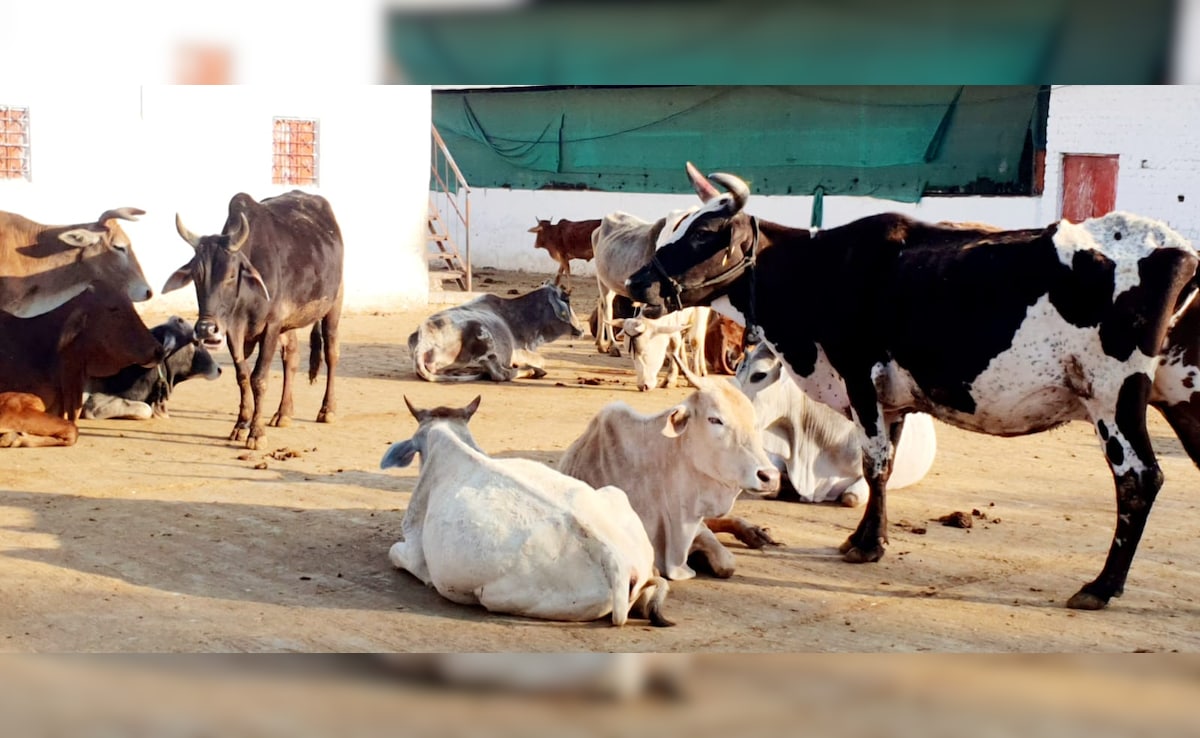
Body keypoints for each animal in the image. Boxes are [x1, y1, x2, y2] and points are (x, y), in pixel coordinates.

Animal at [163, 191, 344, 450]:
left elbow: (259, 378)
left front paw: (256, 433)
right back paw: (283, 413)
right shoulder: (234, 331)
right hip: (288, 324)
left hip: (334, 304)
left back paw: (327, 410)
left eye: (231, 275)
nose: (206, 328)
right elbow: (243, 376)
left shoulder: (271, 326)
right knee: (292, 357)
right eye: (197, 275)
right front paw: (240, 426)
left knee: (331, 353)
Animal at [408, 283, 584, 382]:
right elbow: (541, 360)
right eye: (567, 299)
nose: (582, 329)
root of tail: (425, 338)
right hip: (484, 336)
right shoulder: (518, 352)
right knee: (501, 374)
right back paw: (531, 371)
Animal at [558, 359, 781, 580]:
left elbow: (726, 563)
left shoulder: (696, 526)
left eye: (754, 421)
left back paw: (754, 532)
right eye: (715, 419)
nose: (770, 476)